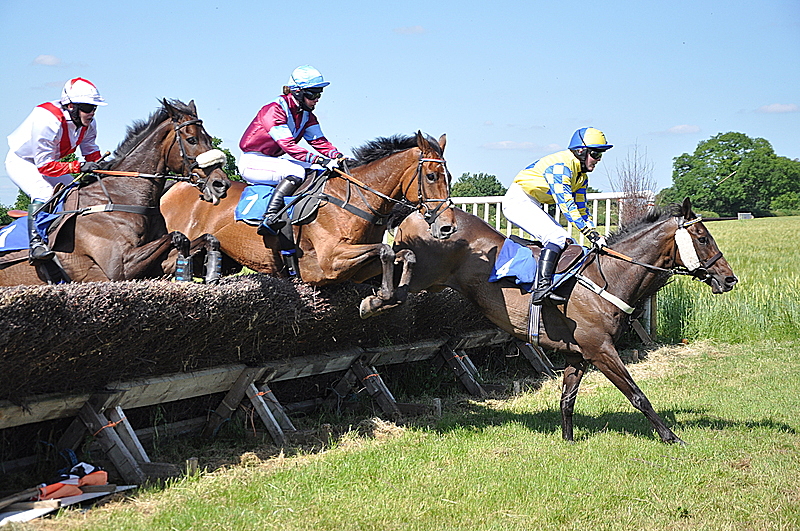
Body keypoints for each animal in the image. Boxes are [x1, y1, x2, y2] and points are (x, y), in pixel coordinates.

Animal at [0, 99, 231, 285]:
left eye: (209, 138)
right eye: (191, 139)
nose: (221, 184)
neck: (123, 197)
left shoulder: (155, 268)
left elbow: (207, 238)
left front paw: (211, 272)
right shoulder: (119, 268)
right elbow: (178, 236)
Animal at [160, 131, 456, 308]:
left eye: (450, 176)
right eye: (432, 176)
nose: (447, 227)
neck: (356, 201)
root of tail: (179, 185)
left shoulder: (357, 269)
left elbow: (405, 254)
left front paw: (399, 292)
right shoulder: (329, 264)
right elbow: (385, 250)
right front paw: (382, 297)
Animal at [390, 198, 738, 444]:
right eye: (702, 237)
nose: (729, 279)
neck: (607, 278)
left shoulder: (577, 354)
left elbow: (567, 399)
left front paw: (568, 440)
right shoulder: (601, 350)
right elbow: (638, 395)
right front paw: (672, 437)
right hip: (423, 275)